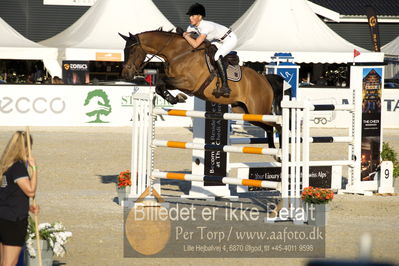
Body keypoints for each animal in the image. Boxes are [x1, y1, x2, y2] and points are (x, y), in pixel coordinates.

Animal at [120, 30, 286, 150]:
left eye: (132, 51)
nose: (125, 74)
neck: (179, 53)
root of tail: (264, 79)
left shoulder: (188, 82)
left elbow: (162, 82)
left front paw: (178, 98)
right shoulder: (177, 82)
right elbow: (161, 86)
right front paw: (176, 98)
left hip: (258, 110)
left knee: (277, 125)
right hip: (245, 112)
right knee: (270, 128)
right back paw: (273, 151)